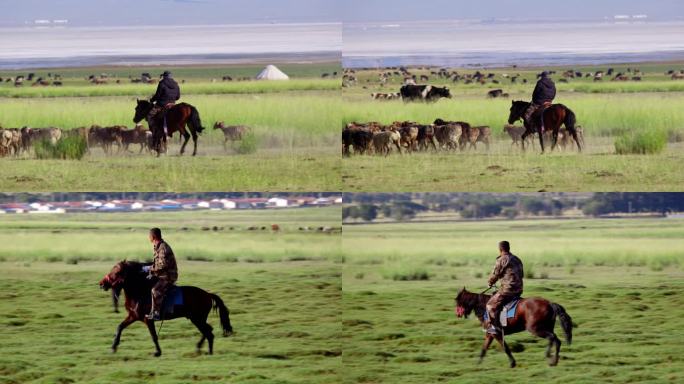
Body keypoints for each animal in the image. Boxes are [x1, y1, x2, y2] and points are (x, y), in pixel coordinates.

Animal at [98, 260, 232, 356]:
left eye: (116, 272)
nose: (101, 283)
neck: (140, 292)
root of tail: (208, 294)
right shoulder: (133, 316)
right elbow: (120, 327)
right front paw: (113, 347)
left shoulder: (148, 319)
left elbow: (153, 336)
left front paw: (157, 352)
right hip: (197, 319)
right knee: (208, 330)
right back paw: (203, 349)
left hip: (197, 319)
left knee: (208, 332)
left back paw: (207, 350)